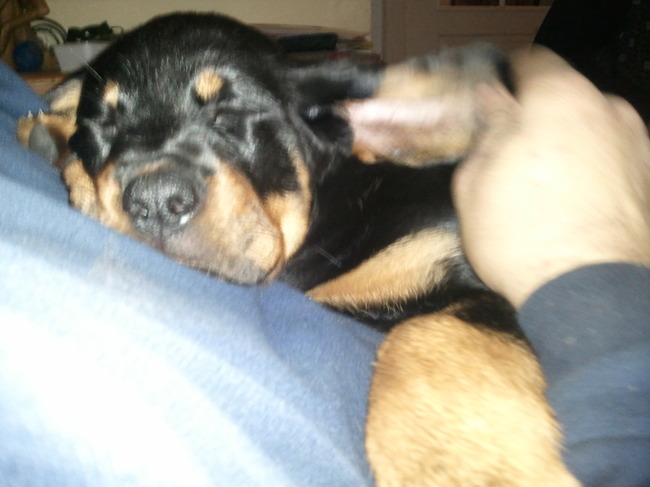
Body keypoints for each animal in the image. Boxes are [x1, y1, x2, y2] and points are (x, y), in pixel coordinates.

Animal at [17, 12, 580, 486]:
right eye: (100, 130)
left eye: (232, 118)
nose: (155, 201)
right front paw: (62, 147)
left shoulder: (471, 279)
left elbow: (428, 333)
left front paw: (471, 468)